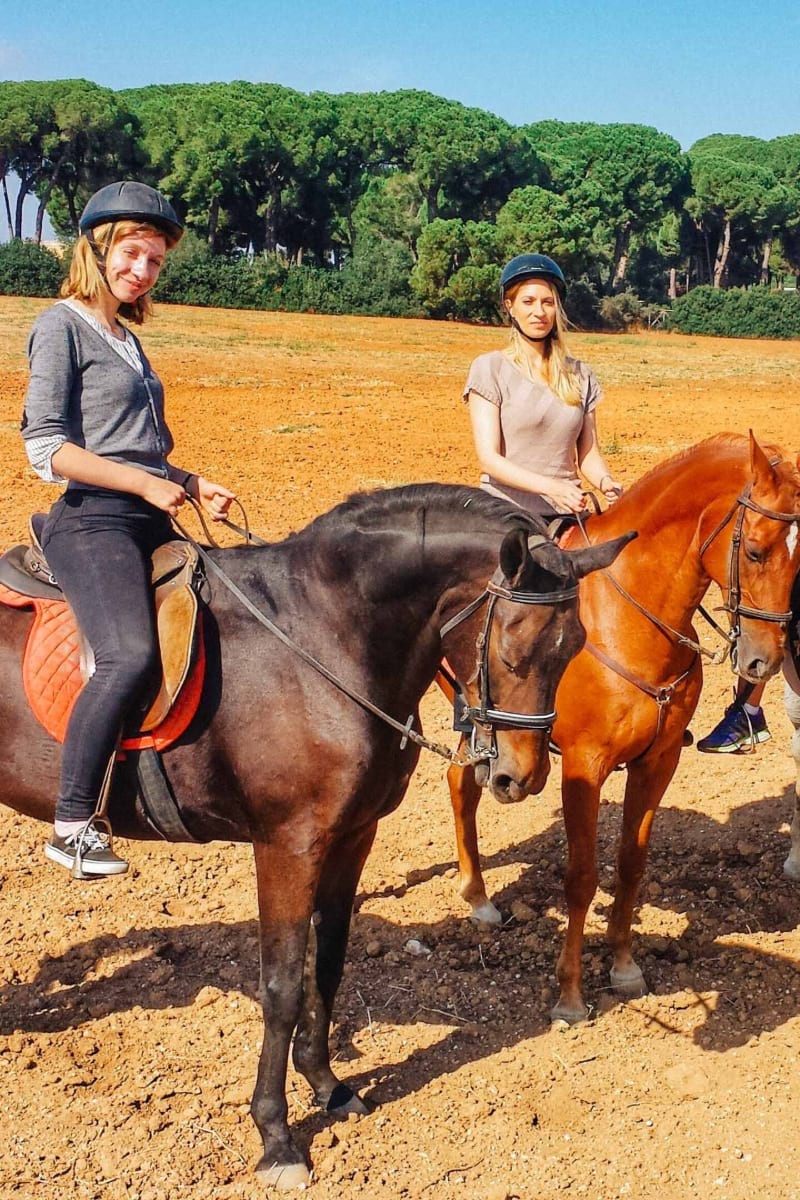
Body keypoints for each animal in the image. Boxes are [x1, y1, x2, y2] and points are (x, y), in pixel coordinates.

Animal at [0, 480, 633, 1190]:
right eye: (512, 646)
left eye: (575, 646)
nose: (519, 777)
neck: (323, 639)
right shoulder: (287, 845)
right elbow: (280, 986)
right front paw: (276, 1137)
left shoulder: (353, 835)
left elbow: (326, 963)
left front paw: (329, 1085)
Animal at [448, 436, 800, 1027]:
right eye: (754, 550)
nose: (764, 660)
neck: (625, 617)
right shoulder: (582, 767)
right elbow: (581, 877)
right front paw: (569, 995)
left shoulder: (658, 761)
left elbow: (631, 866)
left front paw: (625, 967)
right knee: (458, 786)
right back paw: (476, 897)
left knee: (464, 782)